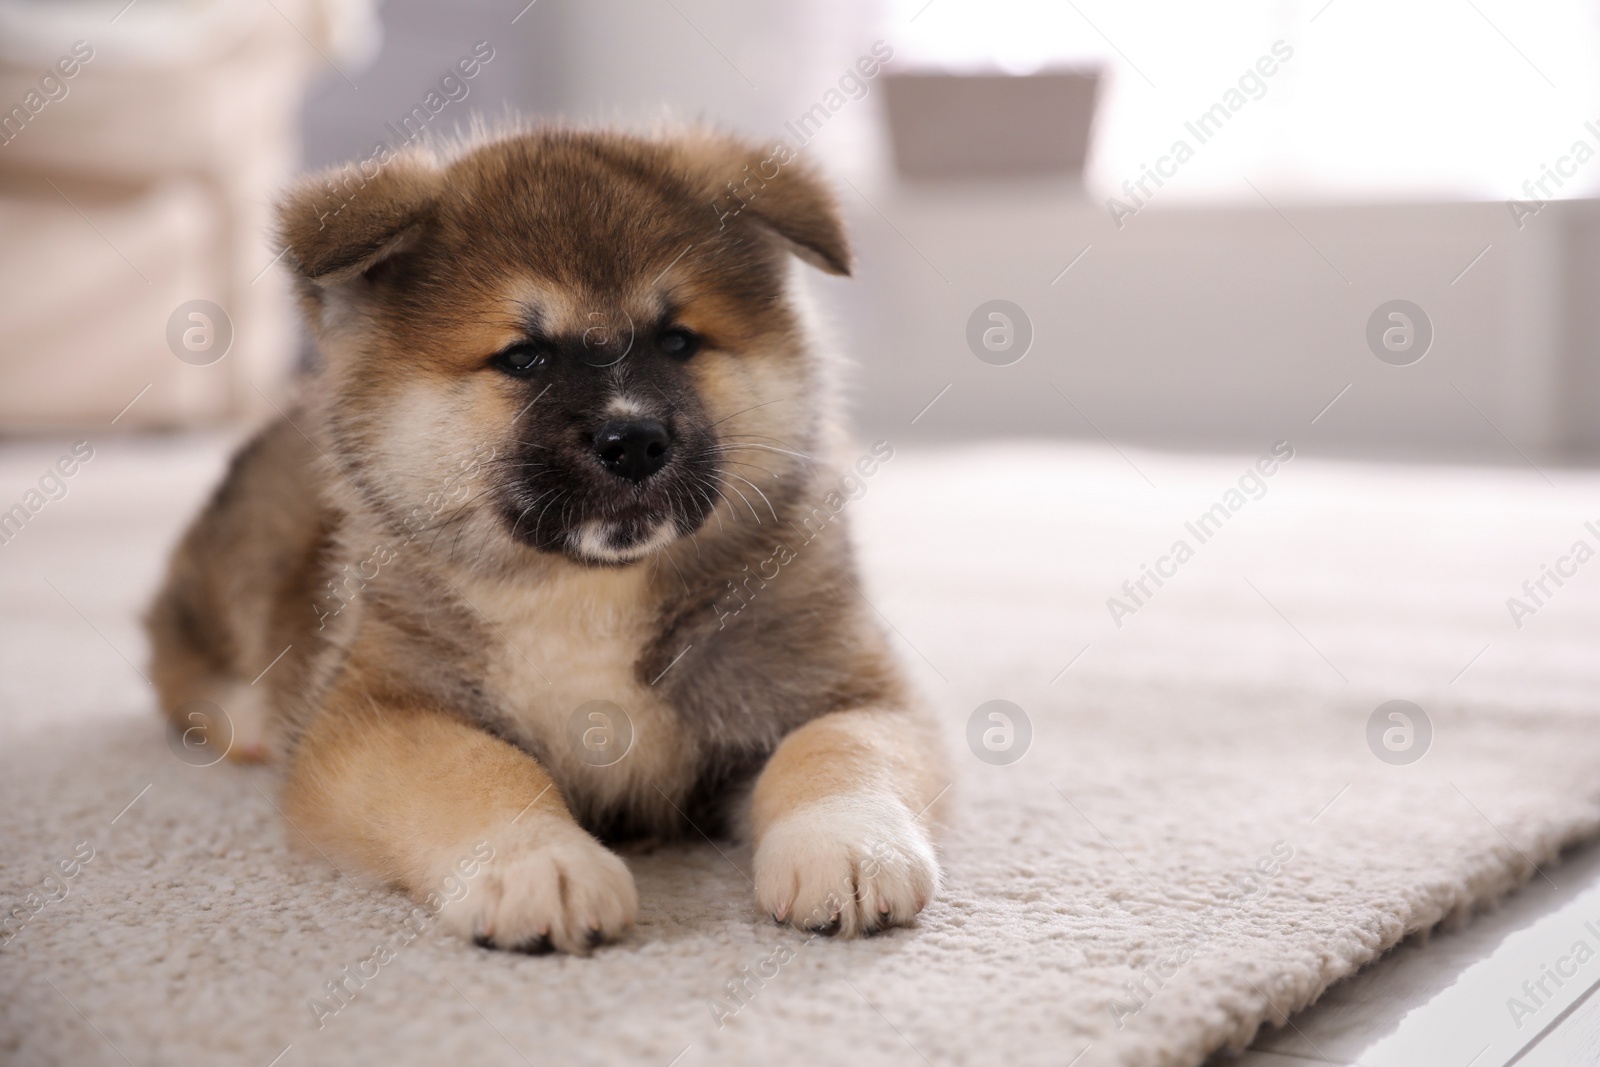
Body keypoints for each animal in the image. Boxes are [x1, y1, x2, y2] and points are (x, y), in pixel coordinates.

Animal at [145, 127, 940, 959]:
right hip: (244, 553)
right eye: (524, 356)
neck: (587, 591)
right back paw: (247, 716)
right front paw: (538, 862)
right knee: (177, 657)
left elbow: (835, 750)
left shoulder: (848, 687)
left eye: (677, 341)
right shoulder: (378, 715)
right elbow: (477, 767)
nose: (635, 440)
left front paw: (848, 843)